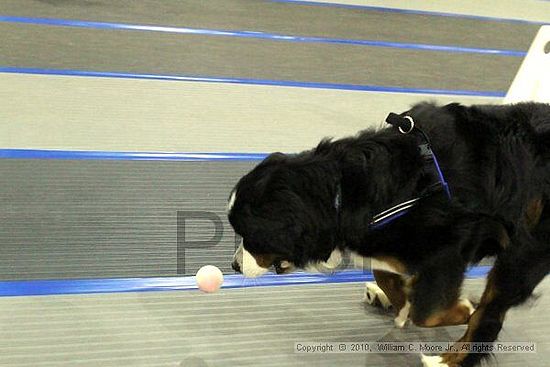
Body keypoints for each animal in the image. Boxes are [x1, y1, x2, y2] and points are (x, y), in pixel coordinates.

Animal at [226, 101, 548, 367]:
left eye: (251, 236)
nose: (234, 265)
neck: (347, 190)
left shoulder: (450, 248)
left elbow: (429, 311)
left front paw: (461, 307)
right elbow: (386, 274)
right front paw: (399, 299)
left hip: (524, 249)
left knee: (490, 312)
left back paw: (447, 360)